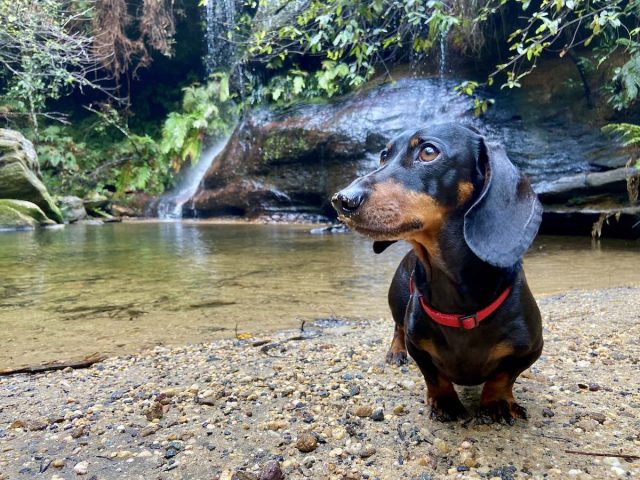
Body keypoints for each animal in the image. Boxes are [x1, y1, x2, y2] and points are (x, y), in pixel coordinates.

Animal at [332, 123, 544, 424]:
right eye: (384, 156)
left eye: (429, 152)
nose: (341, 200)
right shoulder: (418, 346)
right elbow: (433, 376)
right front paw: (445, 403)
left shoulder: (531, 348)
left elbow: (504, 376)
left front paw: (497, 402)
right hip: (398, 299)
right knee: (397, 326)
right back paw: (395, 352)